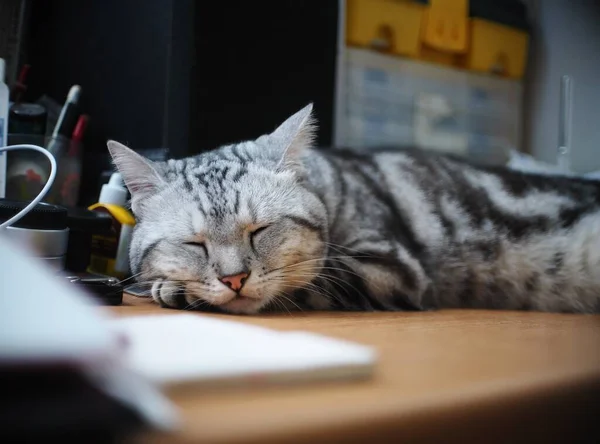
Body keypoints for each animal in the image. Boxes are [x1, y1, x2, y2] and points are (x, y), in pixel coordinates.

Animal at [108, 103, 600, 316]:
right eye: (194, 243)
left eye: (259, 231)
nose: (234, 279)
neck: (333, 187)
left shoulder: (389, 268)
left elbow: (309, 282)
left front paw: (173, 290)